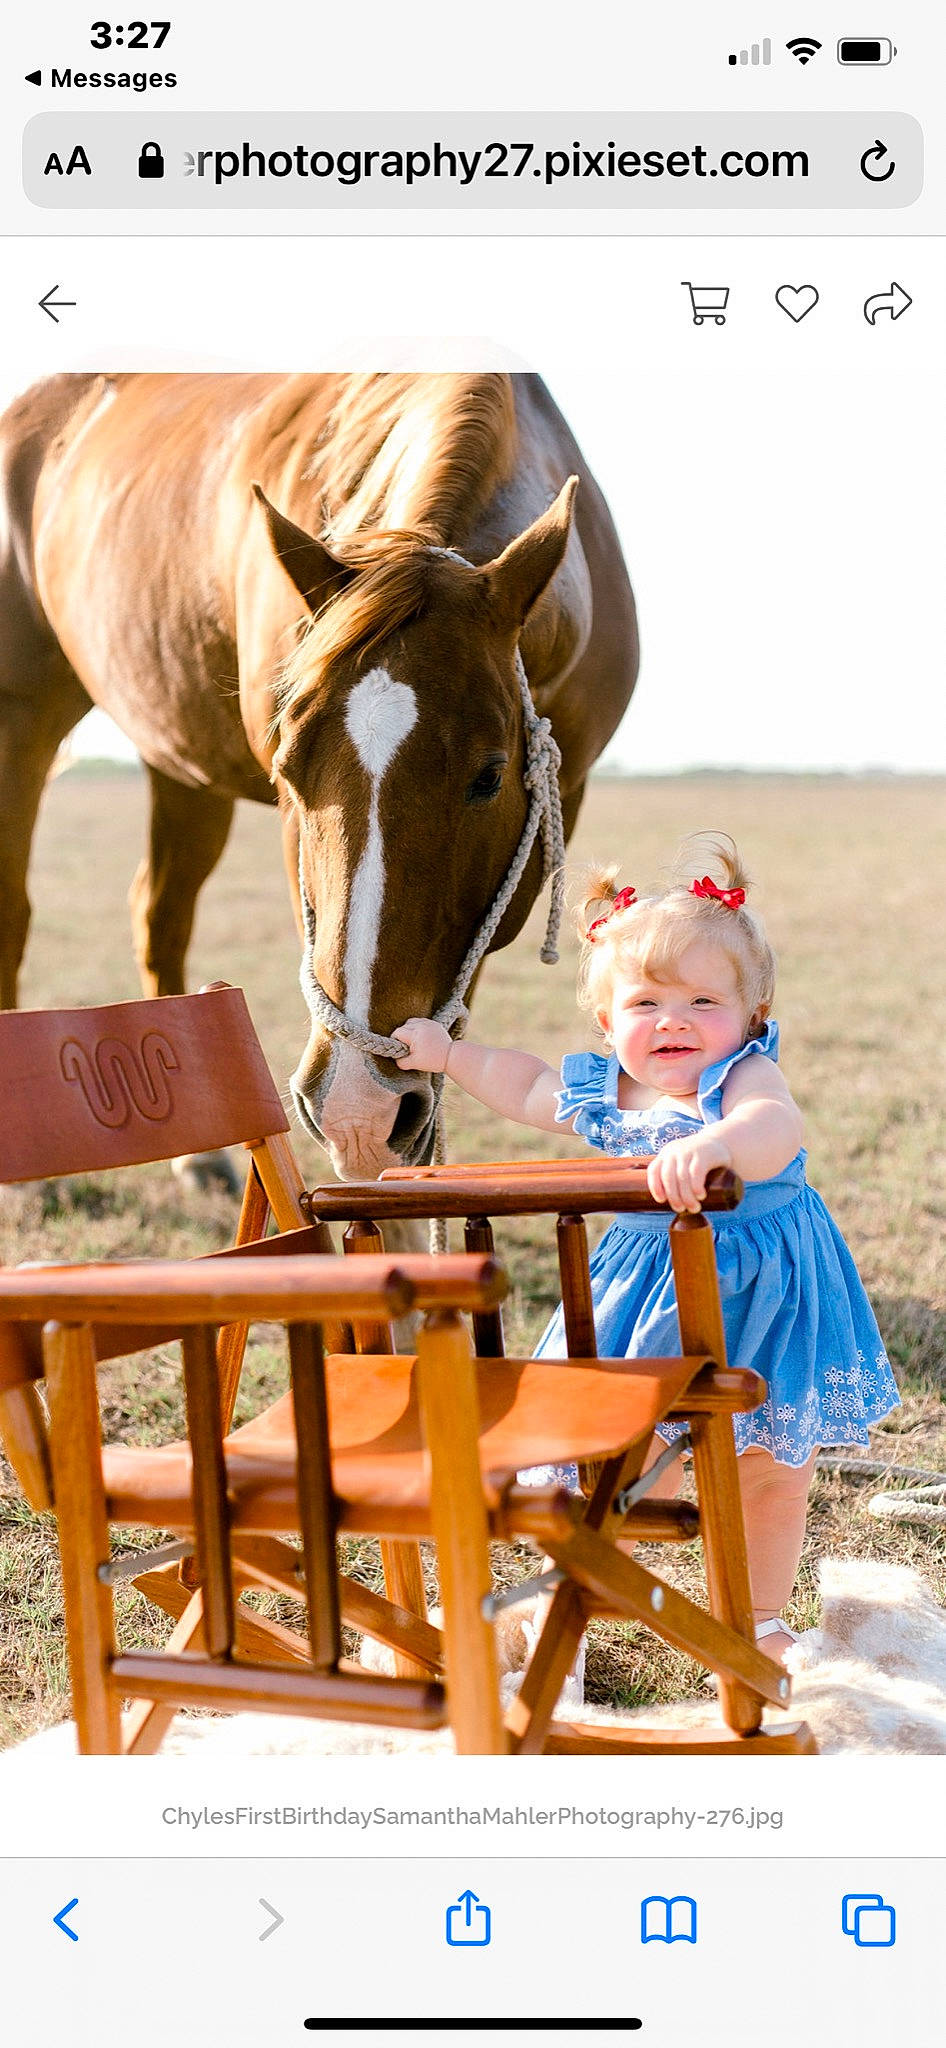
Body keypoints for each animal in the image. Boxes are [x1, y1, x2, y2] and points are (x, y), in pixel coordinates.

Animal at [0, 372, 638, 1175]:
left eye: (490, 777)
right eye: (290, 769)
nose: (355, 1106)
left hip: (181, 770)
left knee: (160, 912)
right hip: (20, 724)